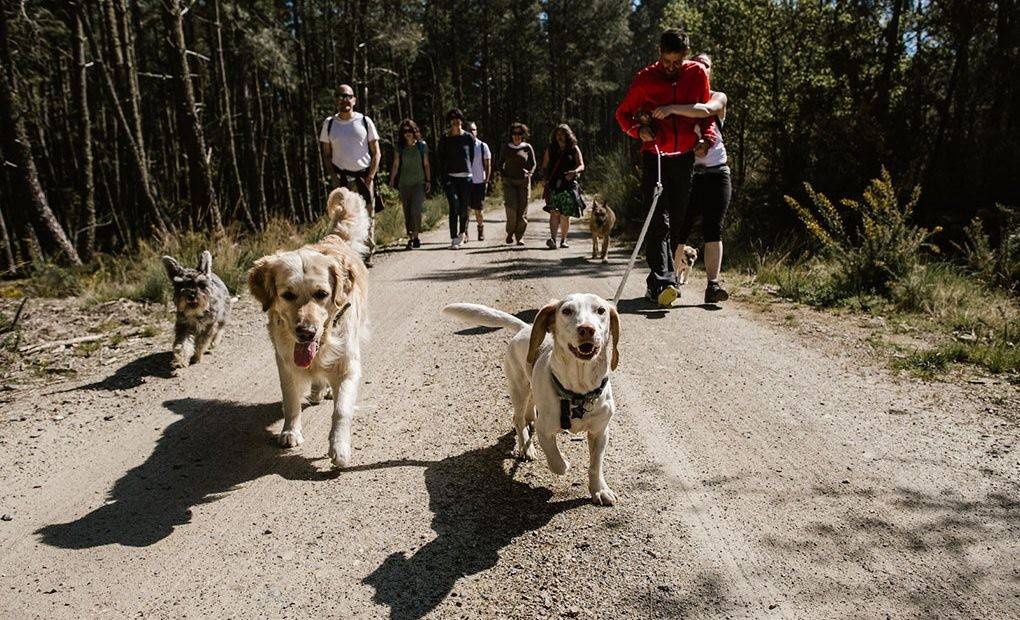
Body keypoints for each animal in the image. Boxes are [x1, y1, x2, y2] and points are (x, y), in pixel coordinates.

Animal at [440, 293, 616, 503]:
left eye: (601, 310)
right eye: (567, 310)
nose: (587, 329)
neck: (579, 392)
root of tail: (525, 327)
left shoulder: (600, 432)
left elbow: (596, 466)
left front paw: (600, 490)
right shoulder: (545, 430)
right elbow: (555, 459)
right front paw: (564, 463)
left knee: (529, 408)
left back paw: (529, 421)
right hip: (518, 388)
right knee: (517, 418)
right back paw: (526, 447)